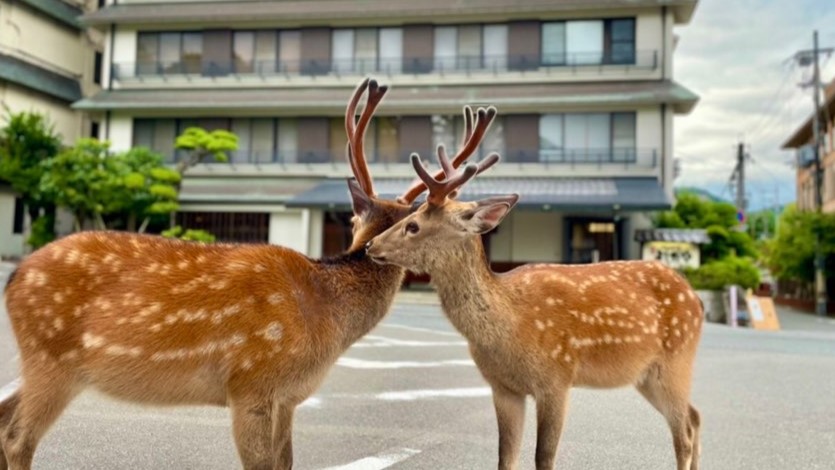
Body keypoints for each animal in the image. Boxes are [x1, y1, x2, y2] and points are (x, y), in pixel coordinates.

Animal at [0, 80, 496, 470]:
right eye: (405, 225)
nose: (374, 248)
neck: (324, 316)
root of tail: (15, 278)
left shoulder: (289, 397)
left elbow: (285, 462)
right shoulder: (251, 383)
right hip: (52, 358)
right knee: (17, 438)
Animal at [370, 112, 704, 468]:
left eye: (413, 225)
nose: (370, 245)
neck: (509, 326)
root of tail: (697, 300)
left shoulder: (557, 377)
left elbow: (543, 456)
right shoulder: (503, 387)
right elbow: (506, 456)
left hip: (675, 361)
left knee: (683, 433)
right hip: (647, 376)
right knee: (695, 417)